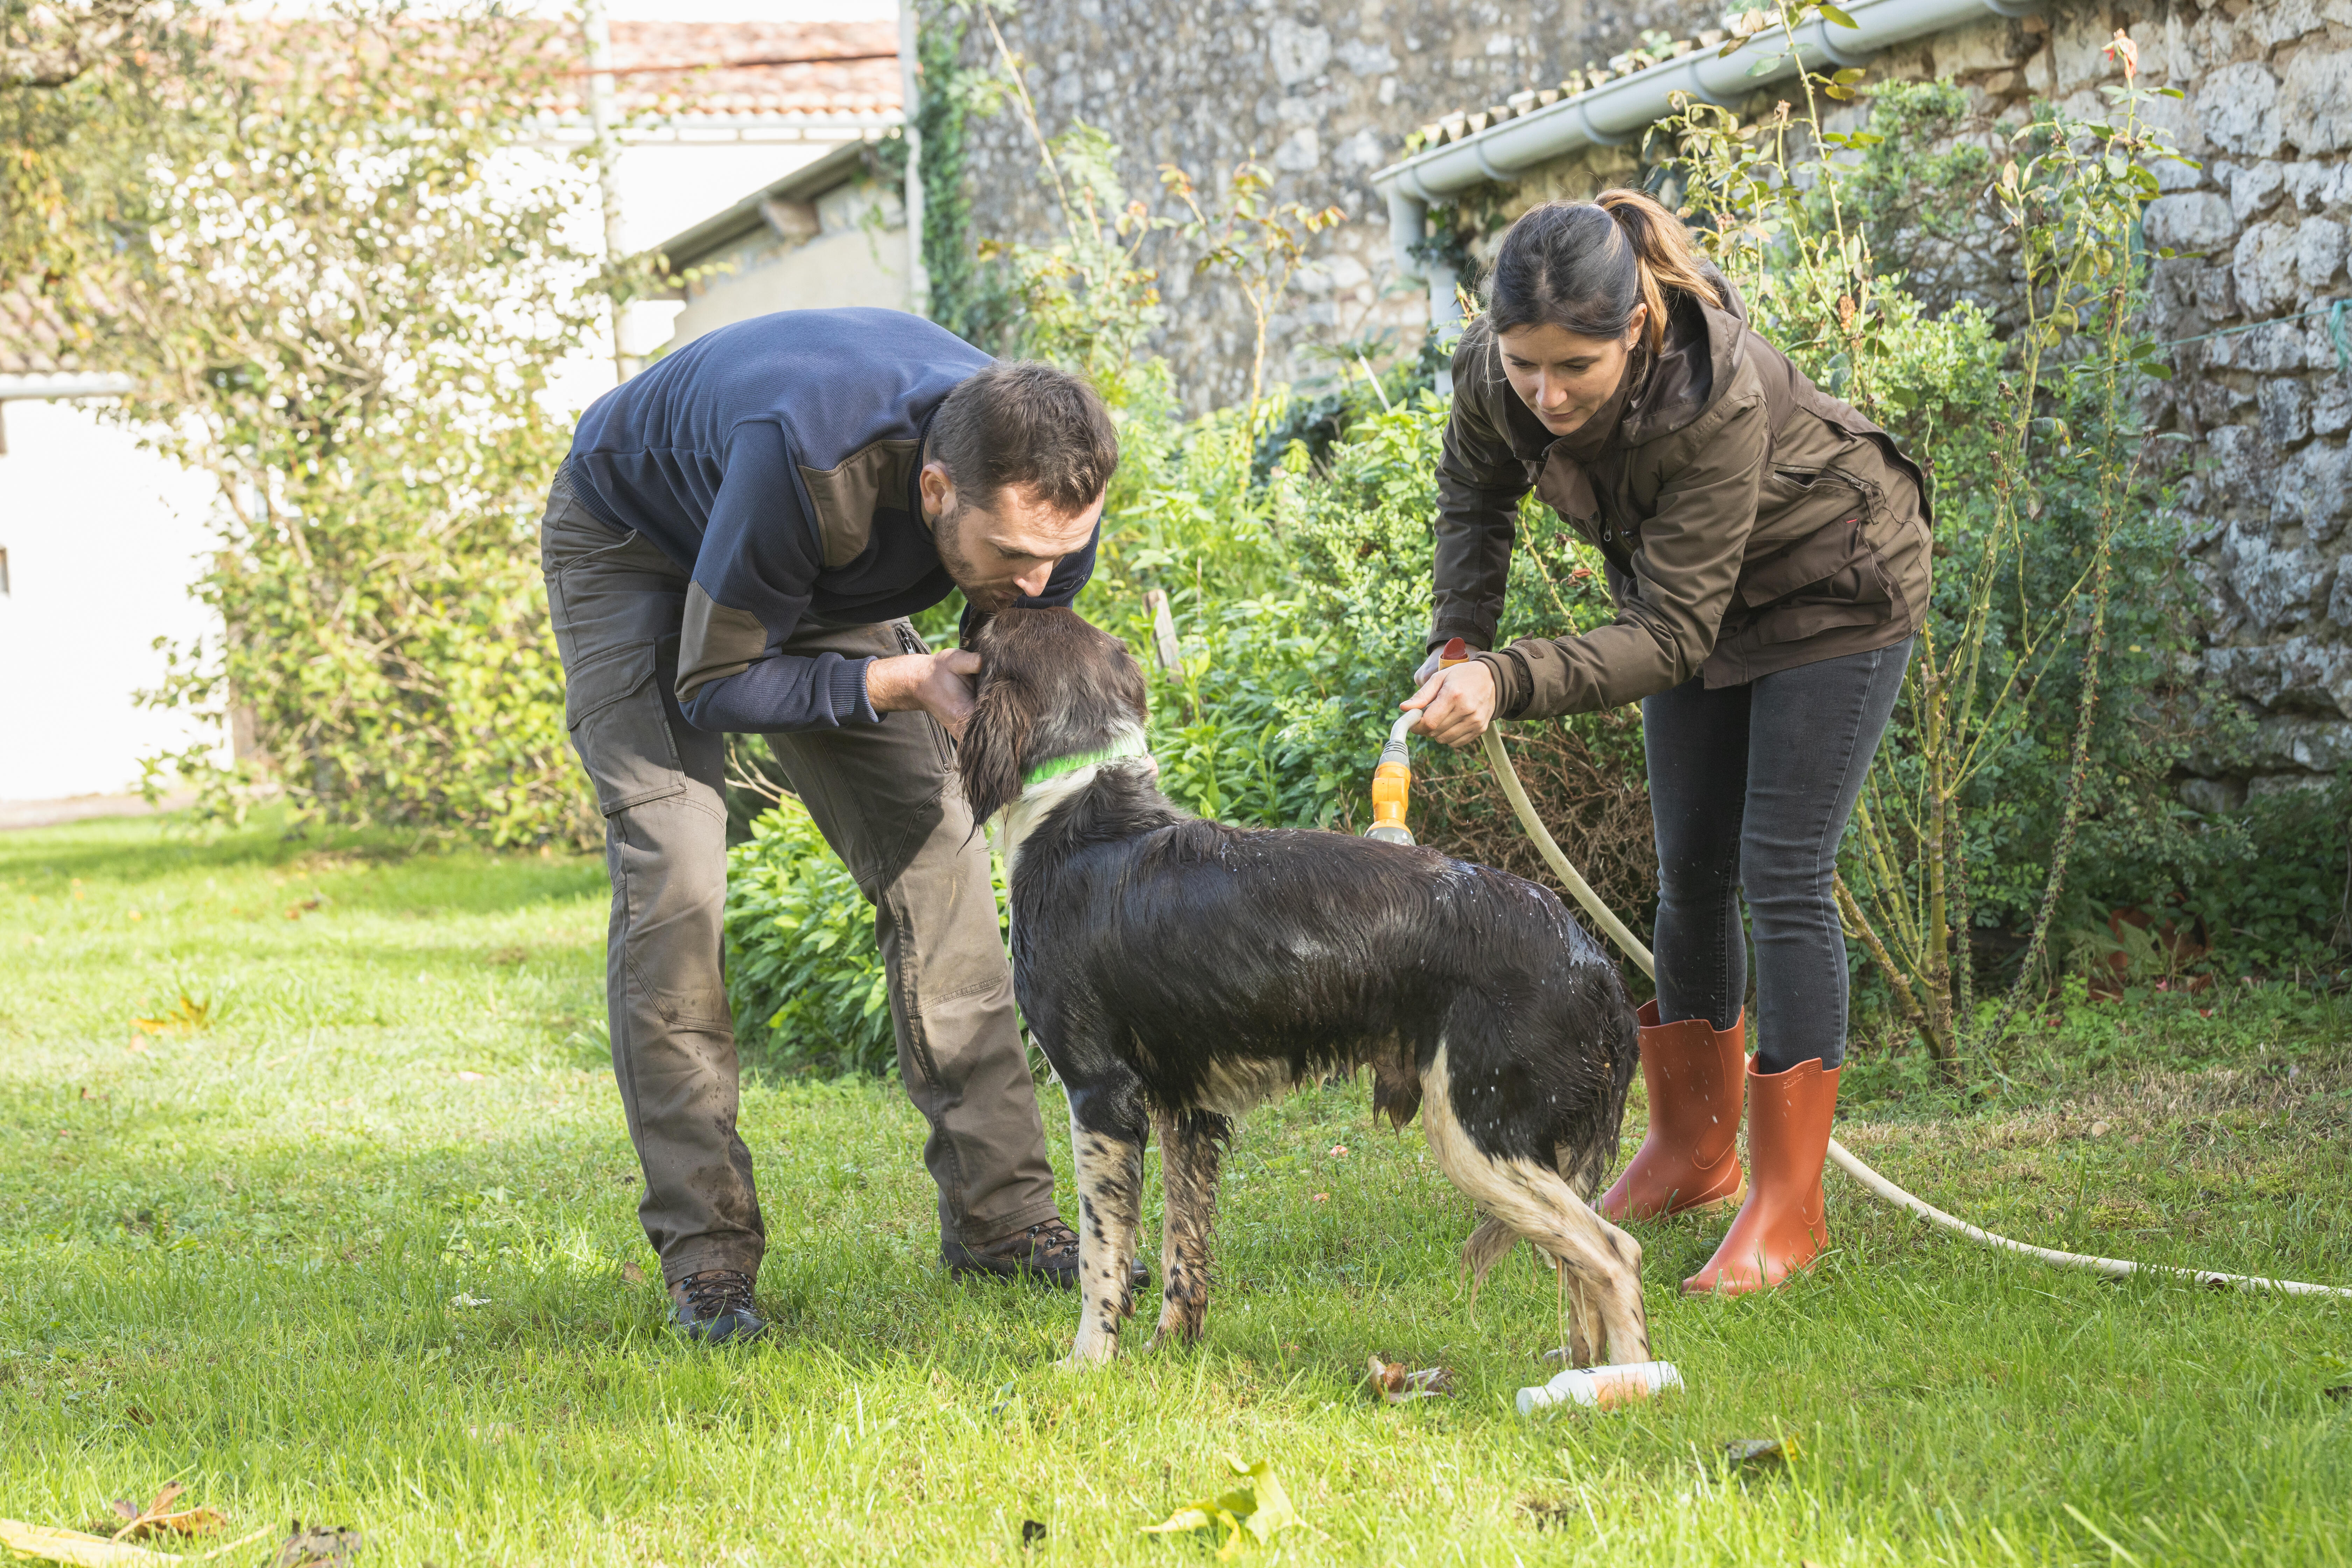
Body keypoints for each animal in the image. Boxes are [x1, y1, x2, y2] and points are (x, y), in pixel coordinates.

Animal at [950, 606, 1637, 1363]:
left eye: (981, 632)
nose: (968, 607)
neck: (1078, 809)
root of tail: (1594, 960)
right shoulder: (1188, 1107)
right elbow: (1184, 1248)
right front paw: (1170, 1350)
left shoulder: (1101, 1092)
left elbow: (1102, 1256)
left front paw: (1087, 1363)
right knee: (1580, 1266)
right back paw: (1582, 1369)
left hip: (1477, 1132)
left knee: (1615, 1252)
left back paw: (1632, 1381)